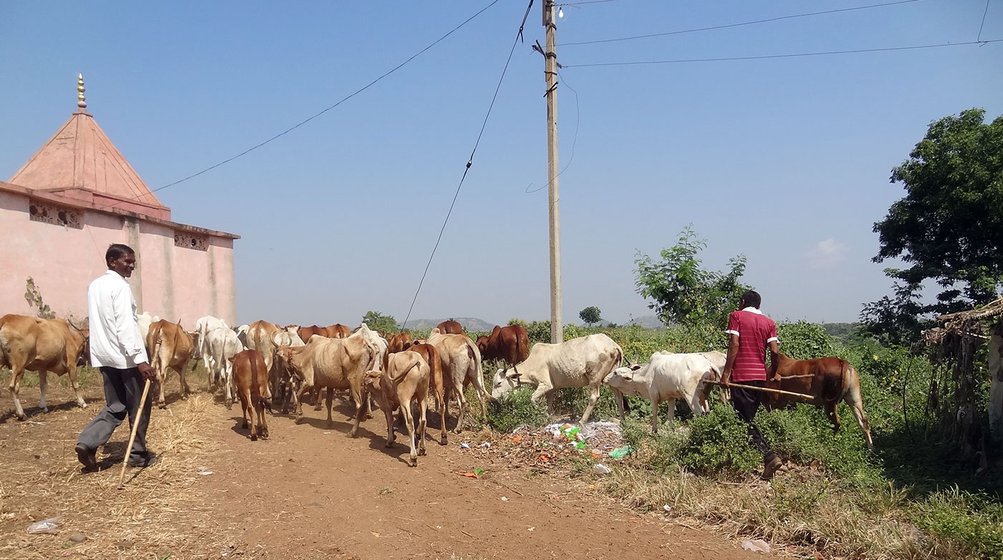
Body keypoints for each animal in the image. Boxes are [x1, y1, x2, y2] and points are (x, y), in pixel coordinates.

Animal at [491, 335, 621, 423]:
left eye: (499, 383)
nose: (494, 399)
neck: (532, 363)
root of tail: (613, 345)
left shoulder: (545, 384)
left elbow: (532, 399)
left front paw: (541, 414)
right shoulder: (551, 389)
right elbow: (549, 402)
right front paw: (548, 417)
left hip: (594, 378)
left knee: (594, 397)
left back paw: (582, 421)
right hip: (612, 378)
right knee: (618, 396)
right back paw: (622, 419)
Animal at [597, 351, 726, 435]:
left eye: (615, 373)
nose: (604, 379)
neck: (646, 373)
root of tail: (709, 364)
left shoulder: (653, 396)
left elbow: (654, 414)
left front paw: (654, 431)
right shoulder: (671, 397)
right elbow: (670, 416)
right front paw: (671, 431)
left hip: (691, 397)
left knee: (700, 413)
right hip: (704, 396)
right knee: (707, 412)